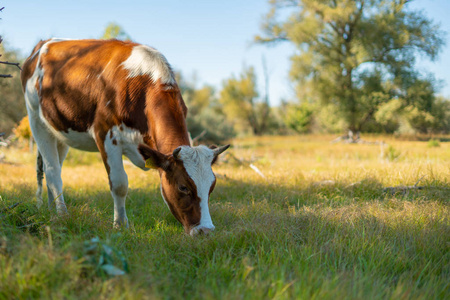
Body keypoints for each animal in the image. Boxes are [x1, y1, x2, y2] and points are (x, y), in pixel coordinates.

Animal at [20, 37, 229, 236]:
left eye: (212, 186)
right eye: (183, 187)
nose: (205, 231)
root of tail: (43, 44)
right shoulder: (105, 133)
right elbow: (120, 184)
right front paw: (121, 226)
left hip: (60, 132)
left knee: (53, 168)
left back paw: (52, 212)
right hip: (36, 121)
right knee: (52, 171)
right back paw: (62, 215)